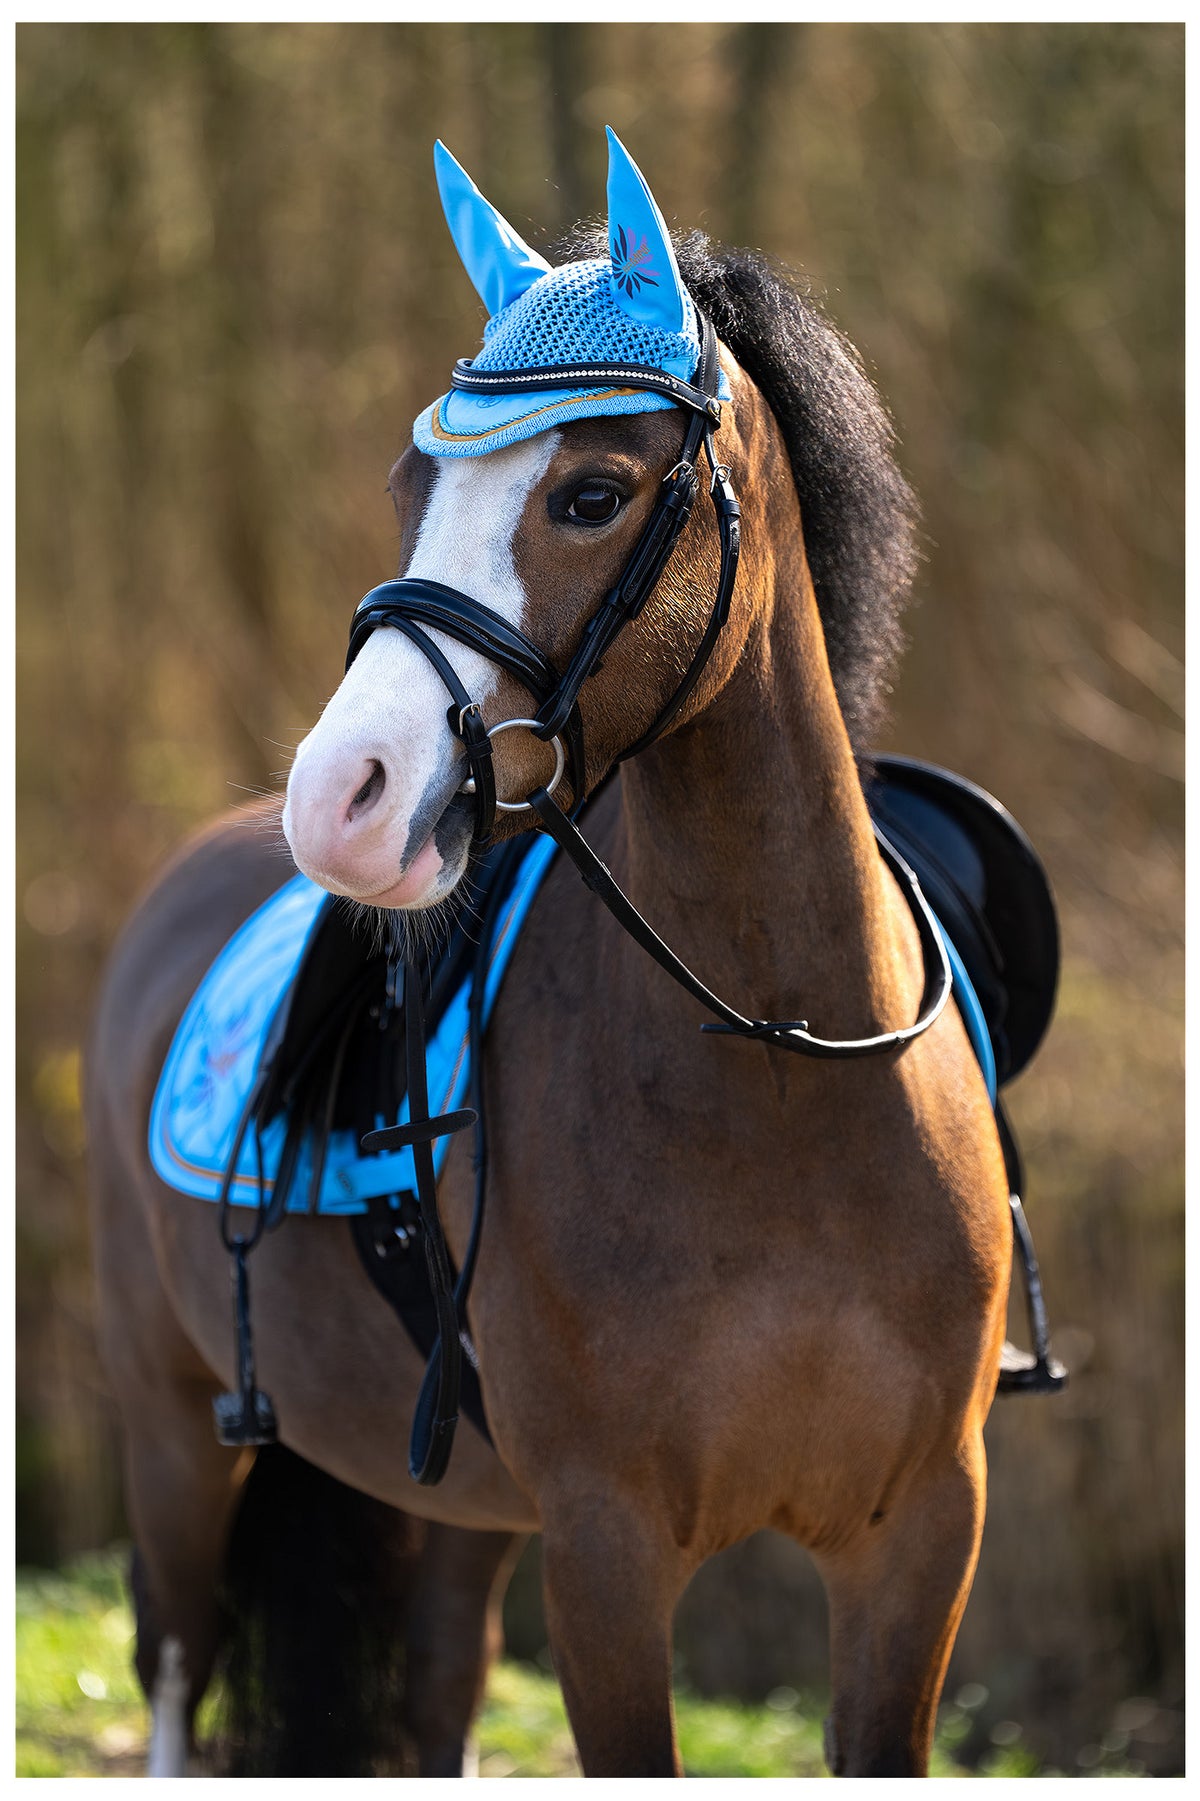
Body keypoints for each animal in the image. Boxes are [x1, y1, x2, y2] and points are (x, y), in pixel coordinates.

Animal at [85, 133, 1013, 1777]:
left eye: (590, 492)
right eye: (411, 483)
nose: (341, 797)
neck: (782, 1066)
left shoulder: (920, 1541)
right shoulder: (607, 1546)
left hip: (461, 1510)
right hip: (175, 1427)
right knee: (179, 1668)